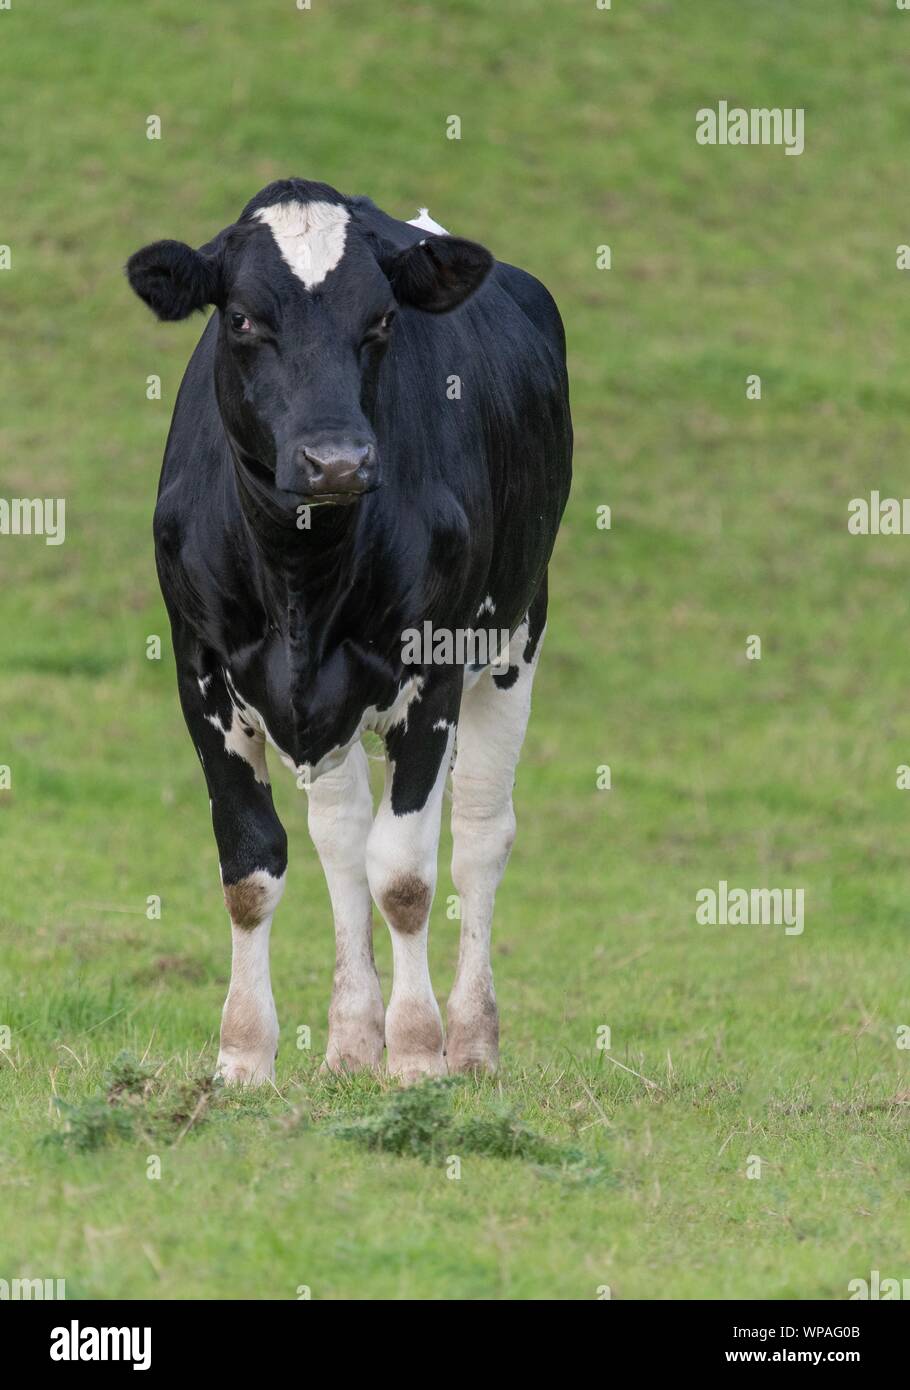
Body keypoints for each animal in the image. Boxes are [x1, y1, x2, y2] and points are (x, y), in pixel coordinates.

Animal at [126, 179, 572, 1085]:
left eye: (383, 320)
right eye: (242, 320)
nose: (335, 461)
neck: (301, 570)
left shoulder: (433, 673)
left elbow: (403, 876)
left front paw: (418, 1053)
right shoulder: (199, 671)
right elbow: (252, 866)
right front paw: (244, 1055)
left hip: (517, 636)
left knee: (479, 836)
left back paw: (472, 1039)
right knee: (339, 840)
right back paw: (350, 1041)